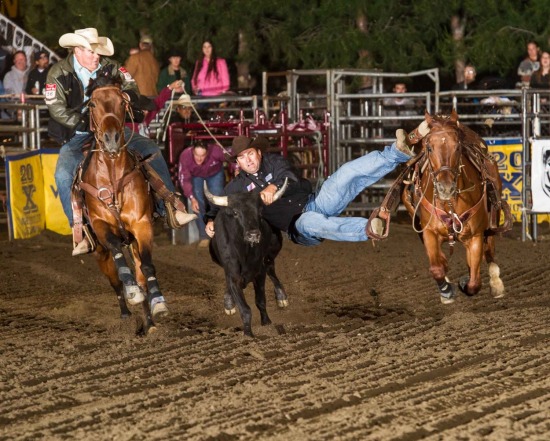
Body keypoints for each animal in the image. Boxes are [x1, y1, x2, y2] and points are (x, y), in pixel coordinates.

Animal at [75, 69, 167, 330]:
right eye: (92, 103)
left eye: (123, 101)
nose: (111, 138)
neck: (113, 177)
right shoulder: (101, 226)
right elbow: (117, 253)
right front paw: (131, 292)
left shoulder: (141, 225)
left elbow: (147, 266)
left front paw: (158, 304)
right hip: (99, 253)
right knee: (115, 281)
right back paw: (126, 311)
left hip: (133, 241)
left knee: (141, 274)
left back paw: (149, 321)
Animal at [402, 109, 512, 302]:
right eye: (429, 147)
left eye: (458, 147)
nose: (445, 187)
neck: (449, 203)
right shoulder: (429, 232)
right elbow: (437, 268)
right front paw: (446, 290)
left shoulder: (475, 236)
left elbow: (474, 283)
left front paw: (464, 282)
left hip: (494, 217)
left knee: (490, 250)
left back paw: (496, 284)